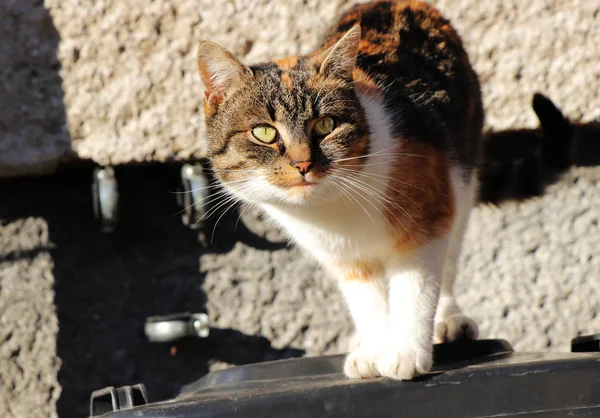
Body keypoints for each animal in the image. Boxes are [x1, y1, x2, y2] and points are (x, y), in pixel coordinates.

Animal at [196, 0, 482, 378]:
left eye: (326, 125)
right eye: (264, 133)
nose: (303, 164)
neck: (331, 208)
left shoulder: (428, 216)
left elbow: (415, 289)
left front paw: (404, 353)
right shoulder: (346, 258)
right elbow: (368, 302)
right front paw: (374, 351)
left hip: (462, 179)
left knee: (449, 260)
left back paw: (450, 320)